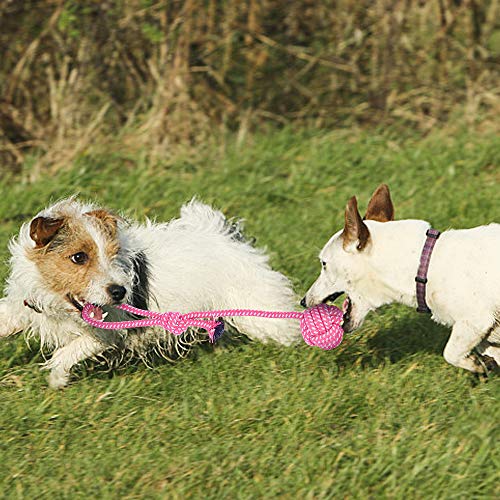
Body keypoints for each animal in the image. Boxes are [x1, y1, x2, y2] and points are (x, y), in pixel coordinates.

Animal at [0, 197, 300, 388]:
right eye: (78, 257)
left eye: (113, 254)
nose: (119, 292)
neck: (55, 299)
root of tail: (229, 236)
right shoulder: (23, 307)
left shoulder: (107, 333)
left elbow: (68, 351)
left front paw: (57, 378)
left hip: (259, 311)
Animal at [302, 186, 500, 374]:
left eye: (324, 264)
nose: (302, 301)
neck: (425, 265)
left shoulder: (475, 321)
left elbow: (450, 353)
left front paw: (477, 365)